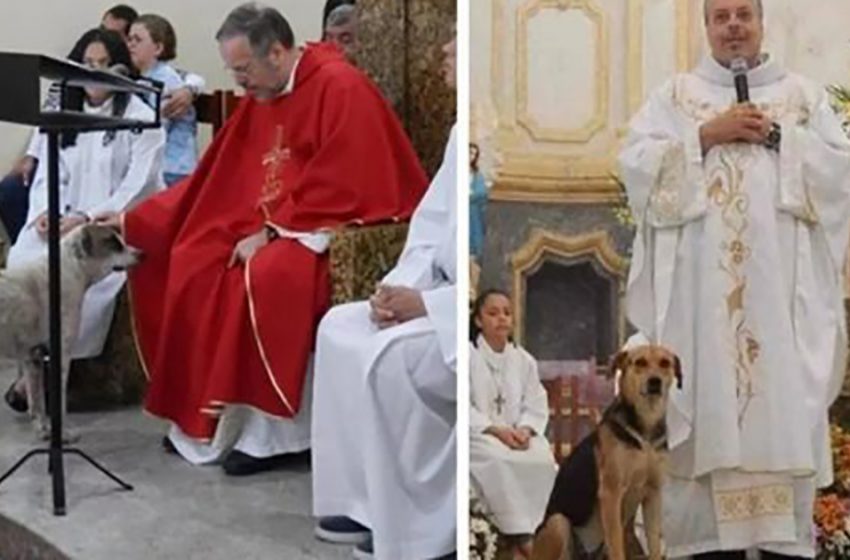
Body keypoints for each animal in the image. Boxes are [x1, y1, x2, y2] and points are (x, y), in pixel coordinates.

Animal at [0, 224, 141, 442]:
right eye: (113, 243)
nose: (141, 254)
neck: (68, 270)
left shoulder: (33, 357)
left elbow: (38, 402)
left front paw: (43, 430)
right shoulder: (61, 355)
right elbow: (59, 402)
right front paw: (63, 435)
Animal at [532, 346, 680, 560]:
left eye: (665, 363)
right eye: (640, 362)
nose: (655, 382)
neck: (646, 428)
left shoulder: (653, 494)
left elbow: (654, 545)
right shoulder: (612, 493)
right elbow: (617, 546)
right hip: (558, 524)